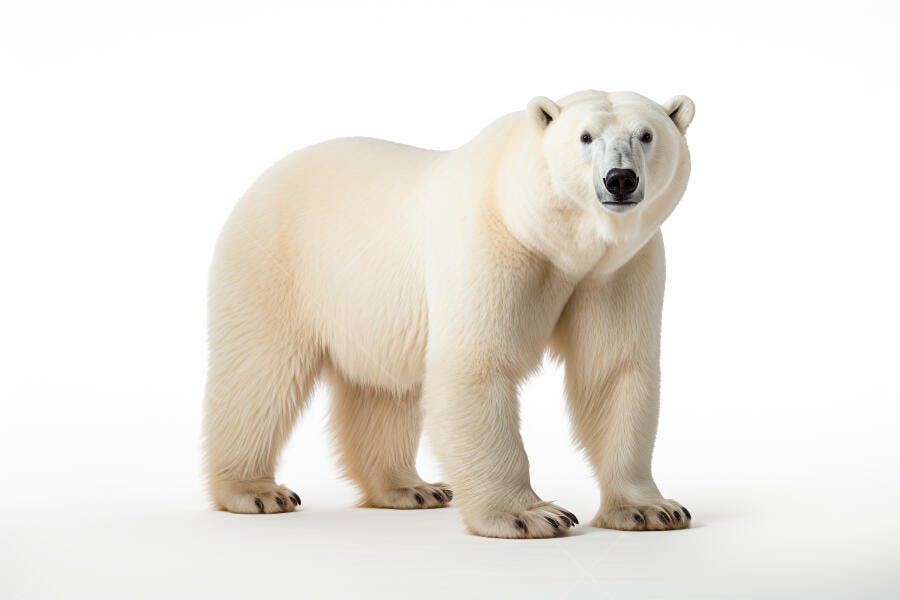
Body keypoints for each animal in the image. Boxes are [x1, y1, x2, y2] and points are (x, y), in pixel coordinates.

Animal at [203, 89, 695, 538]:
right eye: (585, 137)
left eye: (646, 134)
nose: (620, 179)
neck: (555, 237)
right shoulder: (490, 241)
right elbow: (476, 363)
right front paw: (532, 515)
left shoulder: (619, 268)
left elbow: (613, 370)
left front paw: (651, 509)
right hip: (277, 261)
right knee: (259, 373)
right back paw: (256, 491)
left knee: (384, 390)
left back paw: (411, 488)